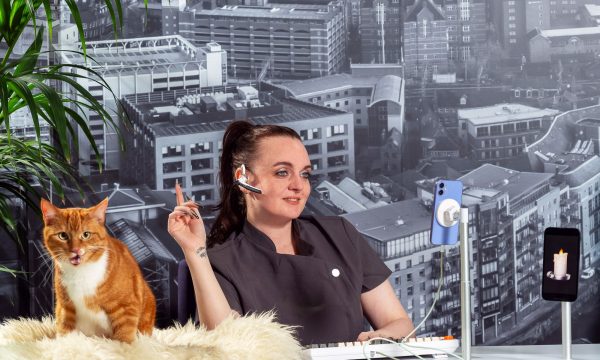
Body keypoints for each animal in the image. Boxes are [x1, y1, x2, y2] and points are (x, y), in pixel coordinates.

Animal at [40, 198, 156, 342]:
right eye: (63, 235)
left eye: (86, 235)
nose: (76, 250)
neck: (81, 272)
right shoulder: (65, 306)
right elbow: (64, 329)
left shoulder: (127, 306)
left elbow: (125, 334)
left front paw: (124, 345)